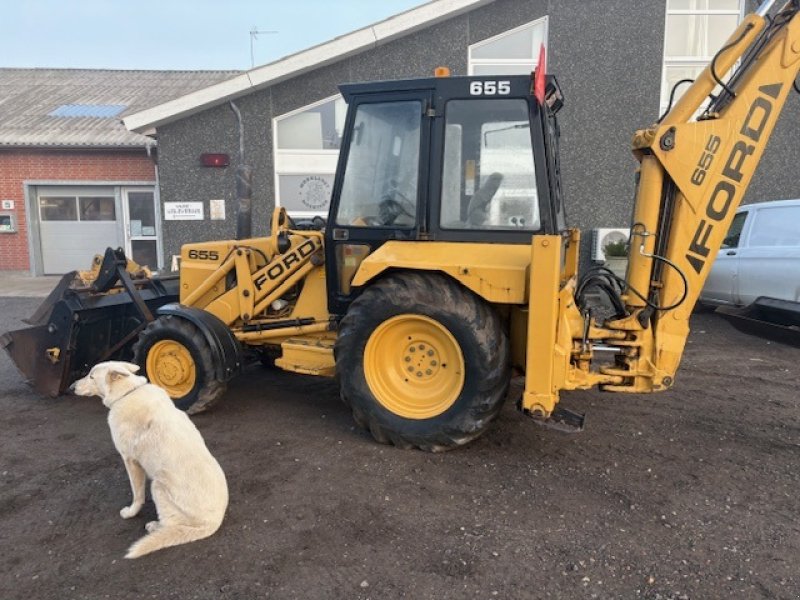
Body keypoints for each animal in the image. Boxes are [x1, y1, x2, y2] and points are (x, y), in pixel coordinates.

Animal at [72, 360, 228, 556]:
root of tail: (213, 523)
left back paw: (155, 527)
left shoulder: (130, 461)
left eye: (91, 376)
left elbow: (137, 495)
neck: (127, 393)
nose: (70, 387)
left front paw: (130, 513)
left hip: (157, 486)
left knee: (171, 526)